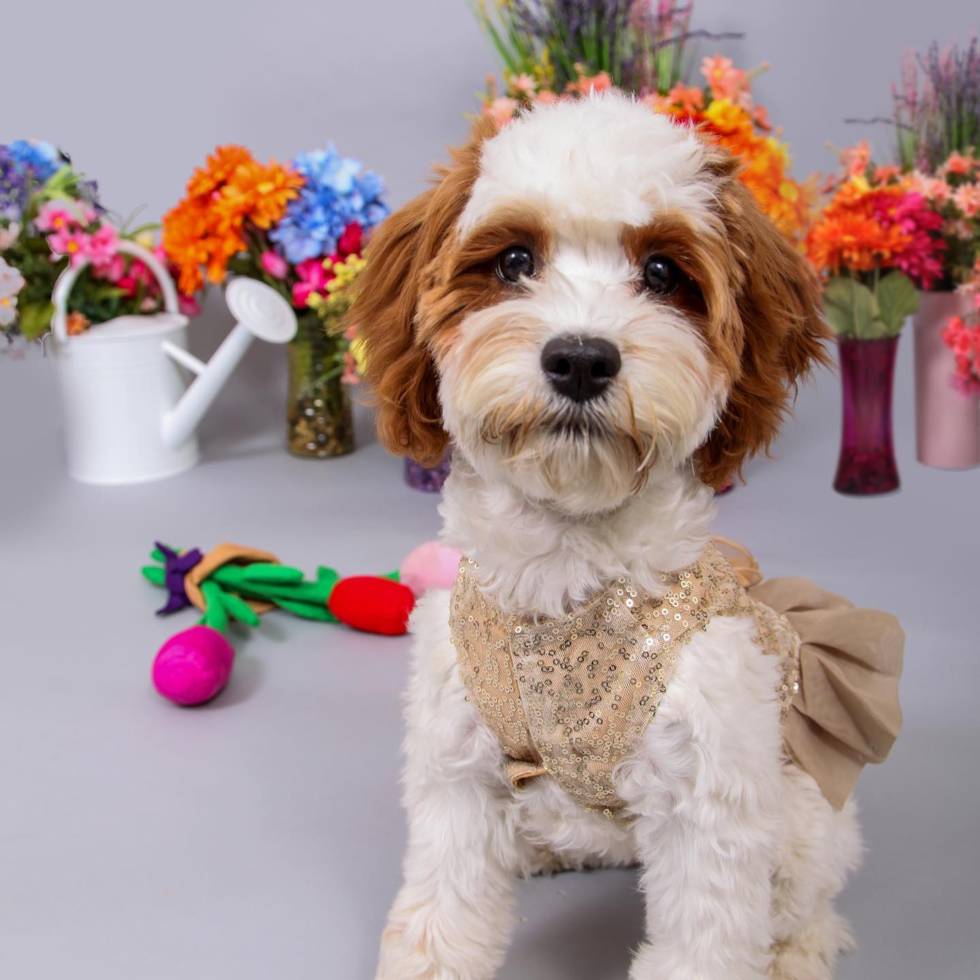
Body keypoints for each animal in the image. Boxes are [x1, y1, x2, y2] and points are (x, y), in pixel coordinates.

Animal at [354, 94, 904, 980]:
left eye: (663, 275)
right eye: (514, 261)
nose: (581, 359)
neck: (566, 573)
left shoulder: (711, 808)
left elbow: (707, 944)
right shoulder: (455, 770)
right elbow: (442, 913)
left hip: (802, 822)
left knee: (809, 897)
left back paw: (798, 950)